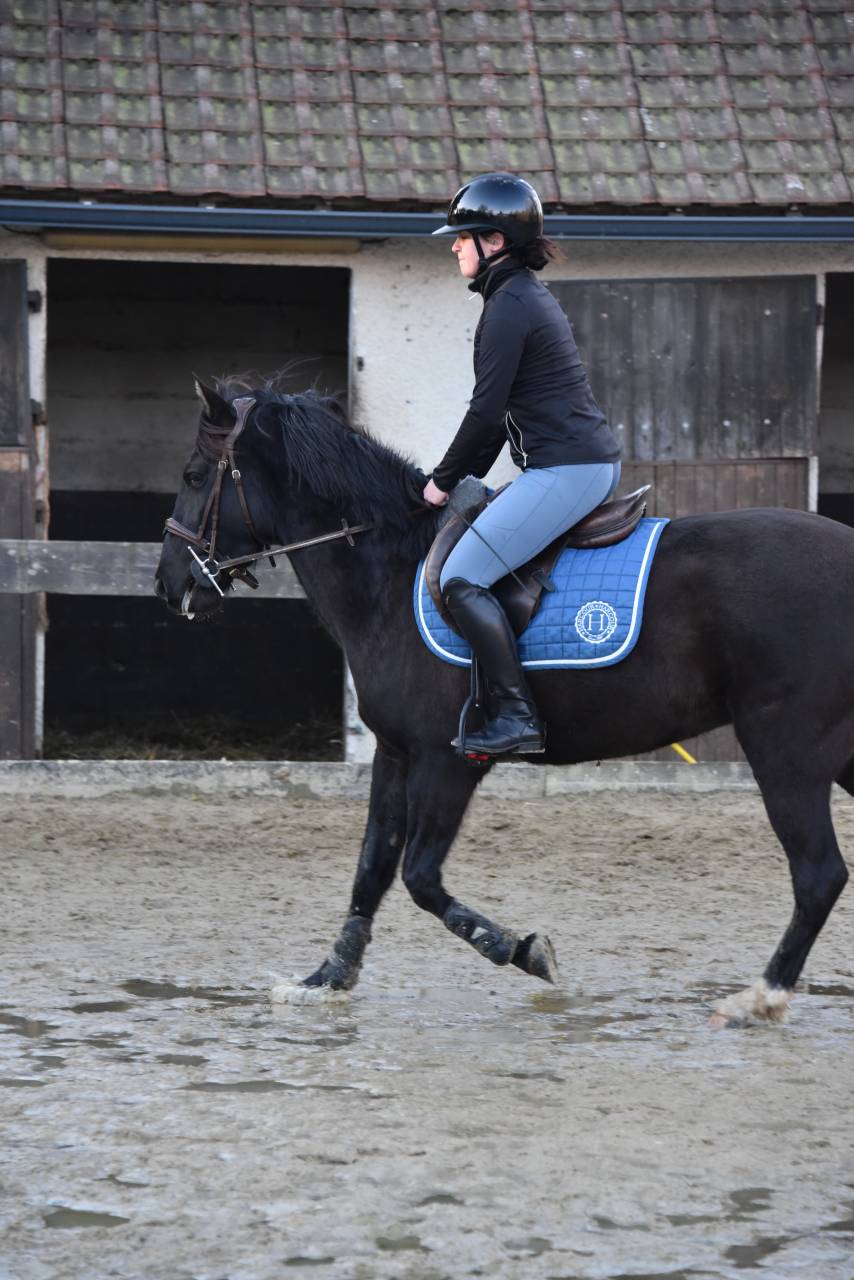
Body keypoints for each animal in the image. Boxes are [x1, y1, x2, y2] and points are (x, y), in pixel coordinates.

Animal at [155, 377, 852, 1027]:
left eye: (192, 475)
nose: (169, 584)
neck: (389, 573)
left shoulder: (447, 761)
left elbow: (420, 877)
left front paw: (524, 951)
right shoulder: (396, 752)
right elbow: (372, 867)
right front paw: (326, 978)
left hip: (785, 752)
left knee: (819, 874)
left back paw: (759, 998)